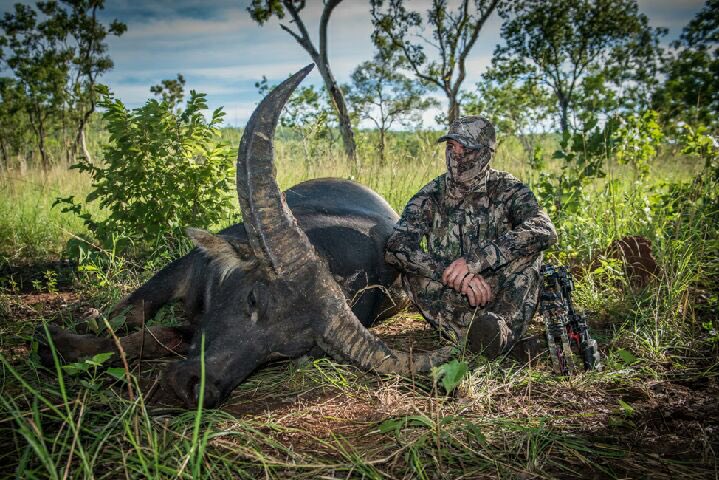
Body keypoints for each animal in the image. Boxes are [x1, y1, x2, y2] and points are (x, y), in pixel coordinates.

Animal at [38, 65, 449, 408]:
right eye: (253, 299)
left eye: (280, 352)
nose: (196, 388)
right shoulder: (183, 267)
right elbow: (133, 309)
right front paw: (69, 336)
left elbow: (159, 335)